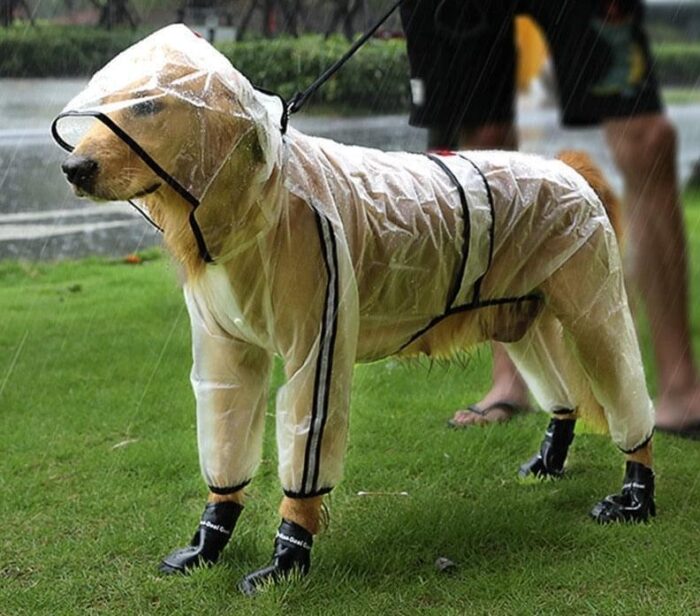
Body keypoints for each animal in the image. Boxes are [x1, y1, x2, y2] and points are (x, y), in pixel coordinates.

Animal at [54, 25, 656, 596]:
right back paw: (549, 461)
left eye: (147, 105)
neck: (261, 195)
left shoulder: (315, 347)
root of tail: (568, 168)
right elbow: (225, 451)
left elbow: (305, 459)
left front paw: (286, 560)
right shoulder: (227, 354)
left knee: (627, 395)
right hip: (521, 319)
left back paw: (635, 496)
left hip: (594, 311)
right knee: (564, 398)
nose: (74, 168)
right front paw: (208, 541)